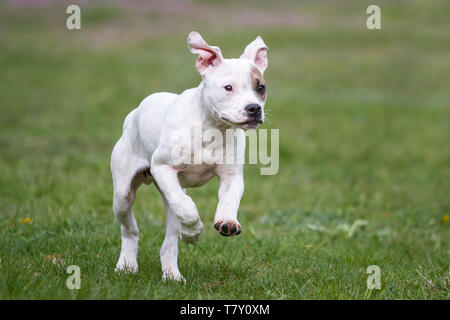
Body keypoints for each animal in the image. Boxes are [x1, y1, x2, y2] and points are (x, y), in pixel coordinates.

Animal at [111, 31, 268, 282]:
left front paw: (227, 222)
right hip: (124, 193)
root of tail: (135, 112)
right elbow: (188, 208)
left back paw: (172, 274)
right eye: (228, 87)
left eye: (260, 87)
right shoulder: (163, 167)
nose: (254, 108)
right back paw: (126, 265)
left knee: (170, 238)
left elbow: (228, 199)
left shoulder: (231, 175)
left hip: (169, 195)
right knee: (131, 228)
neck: (211, 128)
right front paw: (194, 233)